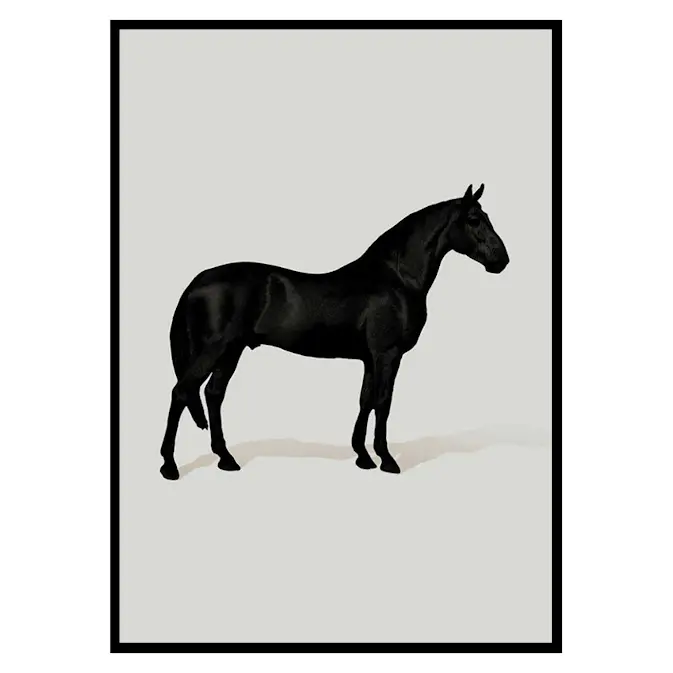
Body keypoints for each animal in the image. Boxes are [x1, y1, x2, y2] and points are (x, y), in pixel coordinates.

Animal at [159, 183, 509, 480]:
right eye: (474, 220)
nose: (501, 260)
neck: (396, 278)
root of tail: (197, 281)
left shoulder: (369, 358)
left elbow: (365, 401)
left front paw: (363, 457)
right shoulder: (388, 355)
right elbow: (383, 401)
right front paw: (387, 460)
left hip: (231, 351)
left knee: (212, 394)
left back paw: (226, 459)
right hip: (215, 349)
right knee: (181, 392)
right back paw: (169, 466)